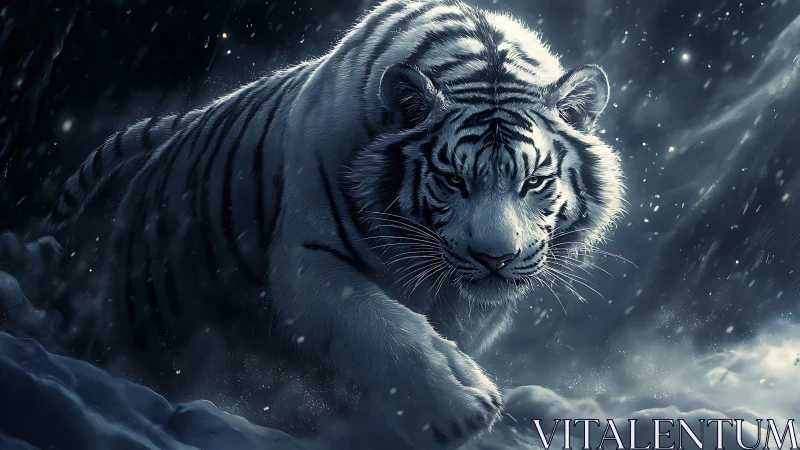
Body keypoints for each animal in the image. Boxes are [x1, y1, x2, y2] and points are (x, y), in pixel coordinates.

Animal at [36, 0, 624, 447]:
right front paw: (460, 404)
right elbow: (381, 326)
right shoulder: (307, 259)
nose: (495, 258)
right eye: (453, 180)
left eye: (534, 181)